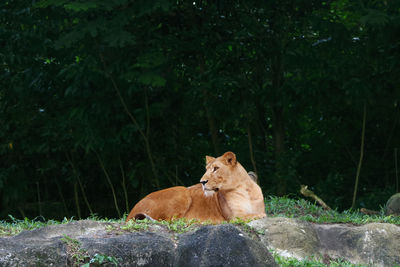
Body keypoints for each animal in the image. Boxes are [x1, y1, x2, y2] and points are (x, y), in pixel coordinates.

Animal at [126, 153, 266, 224]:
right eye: (206, 169)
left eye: (216, 168)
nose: (202, 182)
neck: (245, 190)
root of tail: (132, 211)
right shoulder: (235, 216)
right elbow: (258, 215)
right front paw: (262, 215)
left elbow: (258, 213)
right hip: (182, 191)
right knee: (171, 221)